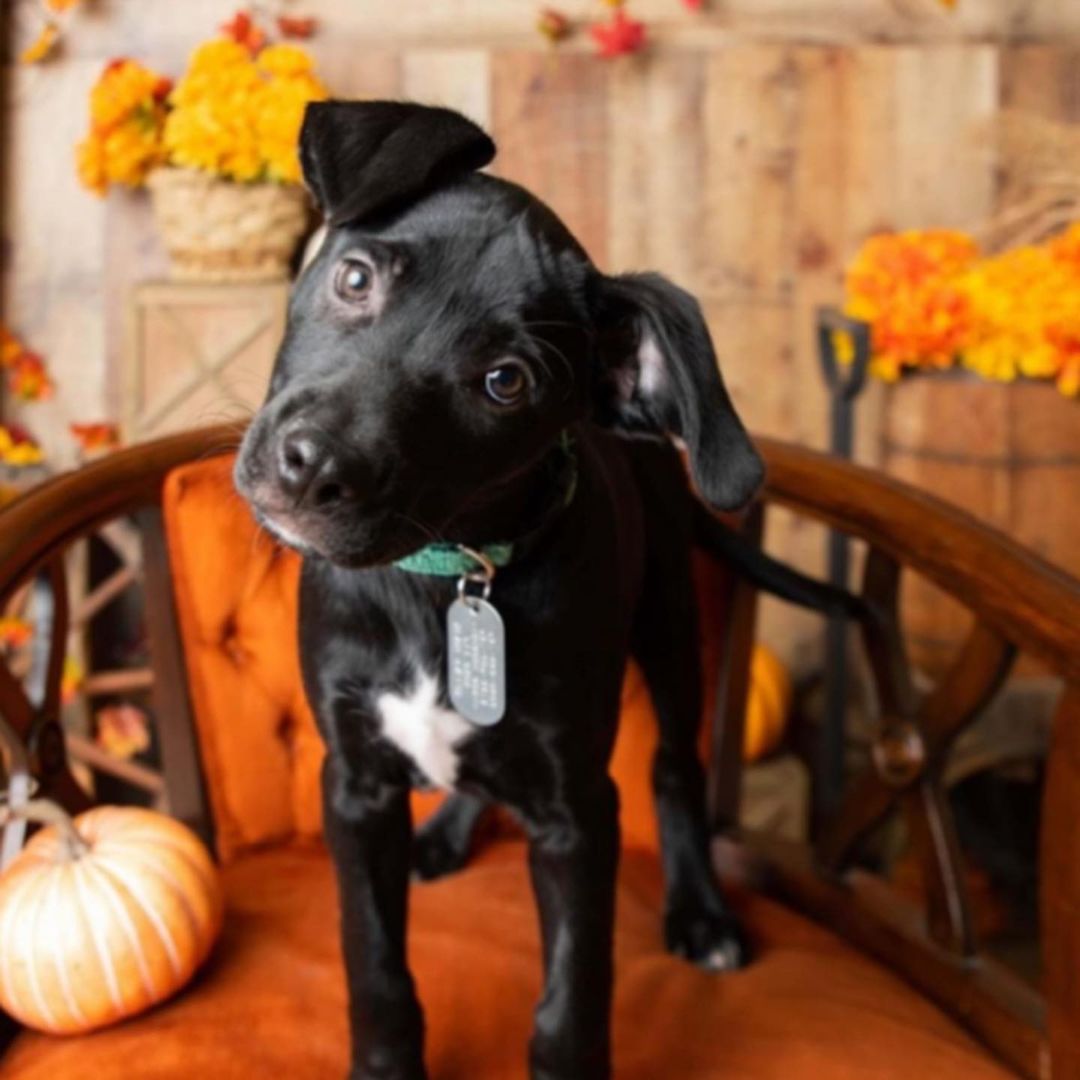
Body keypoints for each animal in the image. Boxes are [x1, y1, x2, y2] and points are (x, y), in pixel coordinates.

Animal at [236, 103, 764, 1080]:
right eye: (355, 277)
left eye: (505, 383)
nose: (311, 467)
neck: (448, 576)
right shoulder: (354, 784)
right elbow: (373, 961)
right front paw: (384, 1064)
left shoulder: (578, 811)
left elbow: (572, 998)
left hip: (672, 623)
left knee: (677, 768)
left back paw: (702, 912)